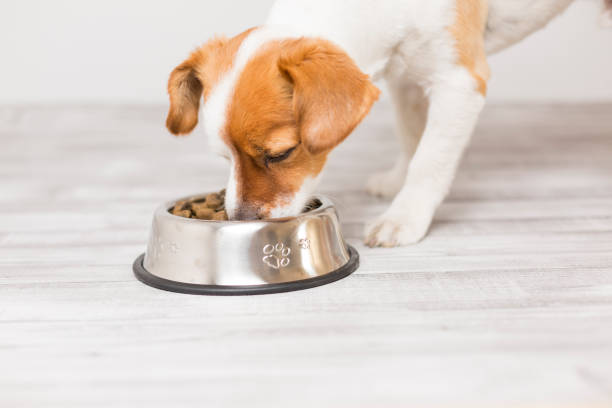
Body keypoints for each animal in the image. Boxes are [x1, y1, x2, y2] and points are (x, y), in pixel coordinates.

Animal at [163, 0, 608, 245]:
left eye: (281, 154)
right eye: (225, 159)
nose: (240, 221)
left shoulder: (459, 83)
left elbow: (429, 160)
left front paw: (404, 217)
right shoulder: (406, 80)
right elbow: (412, 140)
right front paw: (397, 184)